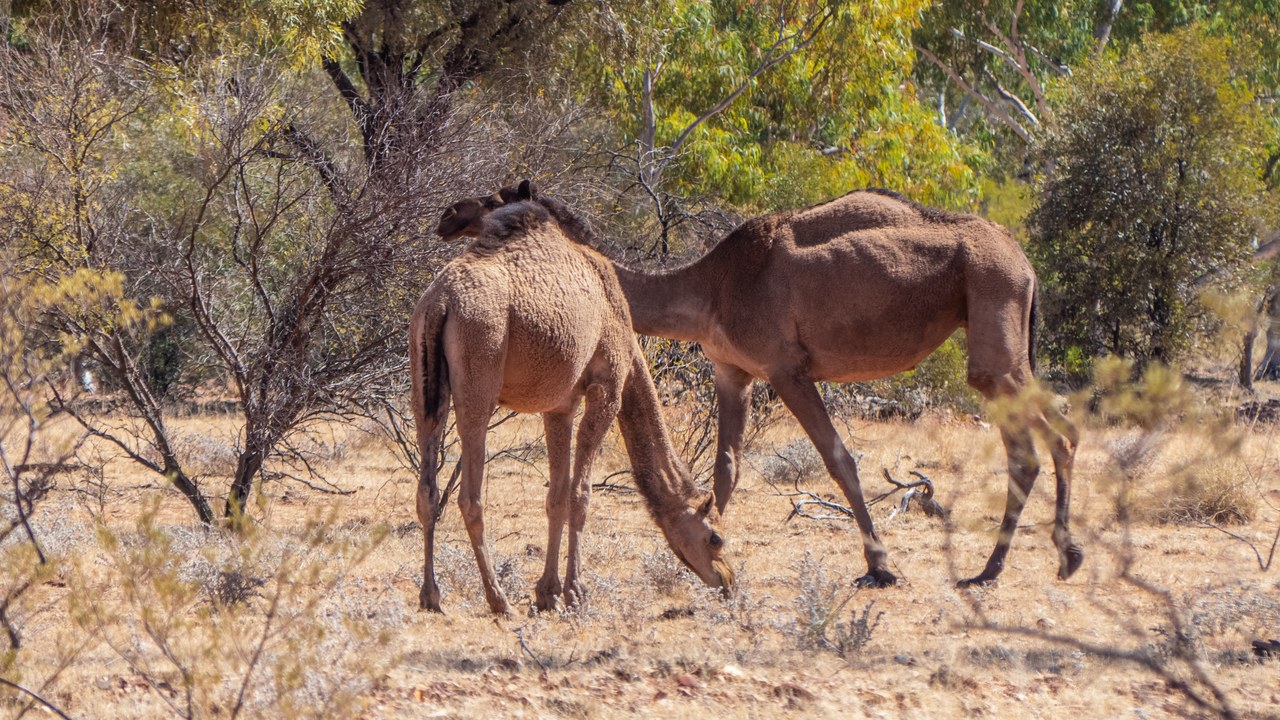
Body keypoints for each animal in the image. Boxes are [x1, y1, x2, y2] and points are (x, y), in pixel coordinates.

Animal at [410, 186, 734, 614]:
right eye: (715, 538)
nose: (729, 582)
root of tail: (441, 302)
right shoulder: (606, 388)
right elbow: (581, 495)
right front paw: (575, 591)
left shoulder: (559, 406)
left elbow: (557, 496)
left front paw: (547, 592)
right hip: (480, 370)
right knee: (470, 496)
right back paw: (498, 599)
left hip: (424, 383)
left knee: (427, 489)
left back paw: (431, 596)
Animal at [437, 184, 1082, 589]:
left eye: (495, 202)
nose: (447, 216)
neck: (708, 288)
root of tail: (1024, 260)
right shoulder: (734, 372)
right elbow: (726, 469)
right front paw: (708, 553)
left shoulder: (784, 369)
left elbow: (839, 459)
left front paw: (880, 567)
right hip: (997, 328)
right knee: (1039, 439)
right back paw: (1010, 566)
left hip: (994, 318)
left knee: (1051, 432)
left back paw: (1047, 559)